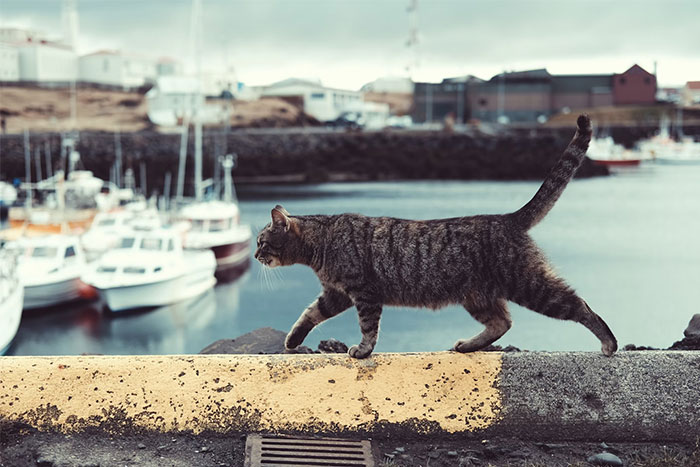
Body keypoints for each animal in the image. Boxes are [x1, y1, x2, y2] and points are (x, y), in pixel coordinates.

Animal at [256, 116, 616, 358]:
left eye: (261, 242)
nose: (256, 256)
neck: (322, 242)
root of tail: (507, 218)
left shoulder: (363, 292)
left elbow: (368, 327)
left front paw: (363, 350)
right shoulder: (336, 294)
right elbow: (309, 314)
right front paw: (293, 340)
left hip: (530, 285)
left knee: (578, 305)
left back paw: (608, 342)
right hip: (478, 297)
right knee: (502, 323)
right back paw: (469, 345)